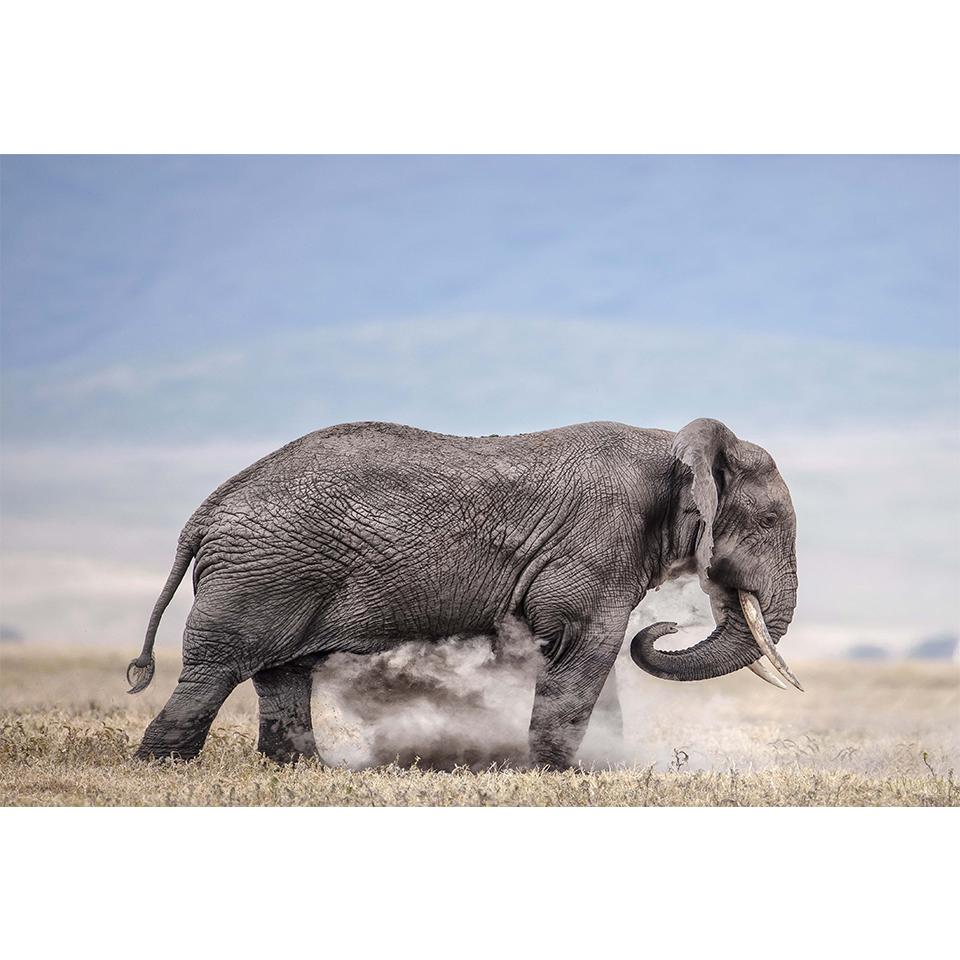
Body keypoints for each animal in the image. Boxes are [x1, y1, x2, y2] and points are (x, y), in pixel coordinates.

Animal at [127, 417, 801, 767]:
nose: (668, 626)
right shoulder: (599, 543)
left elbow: (582, 656)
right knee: (216, 667)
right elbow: (586, 645)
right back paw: (163, 765)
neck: (671, 445)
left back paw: (302, 769)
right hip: (263, 575)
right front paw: (558, 775)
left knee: (281, 673)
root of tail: (204, 514)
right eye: (770, 522)